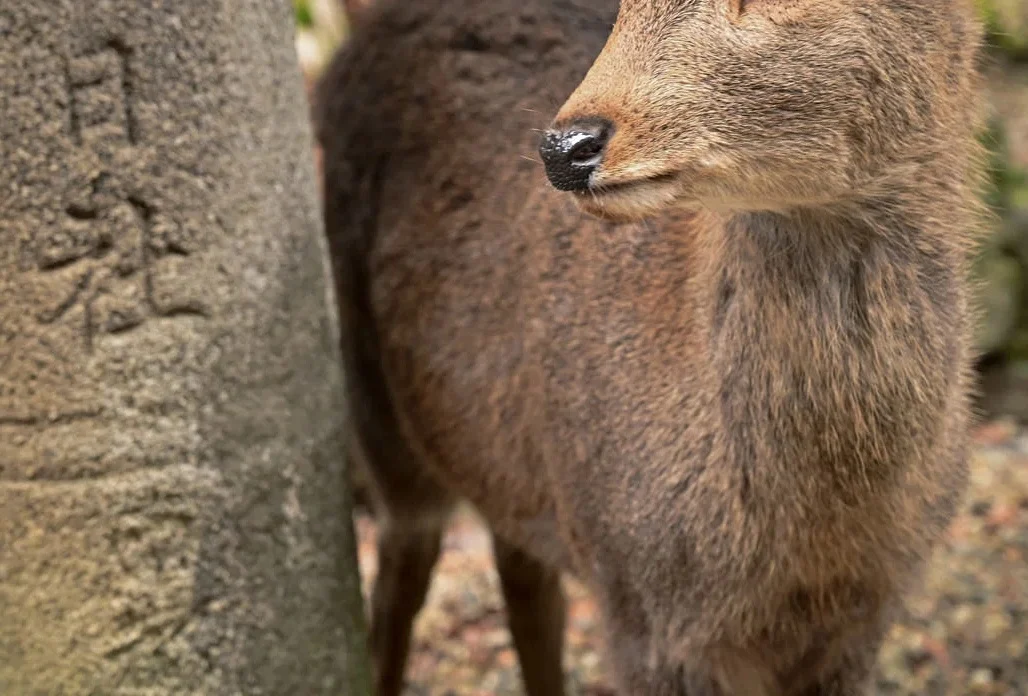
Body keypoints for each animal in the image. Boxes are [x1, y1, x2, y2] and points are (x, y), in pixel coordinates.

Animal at [314, 0, 985, 694]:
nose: (565, 147)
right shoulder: (641, 606)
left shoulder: (863, 618)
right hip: (373, 404)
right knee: (402, 569)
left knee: (520, 573)